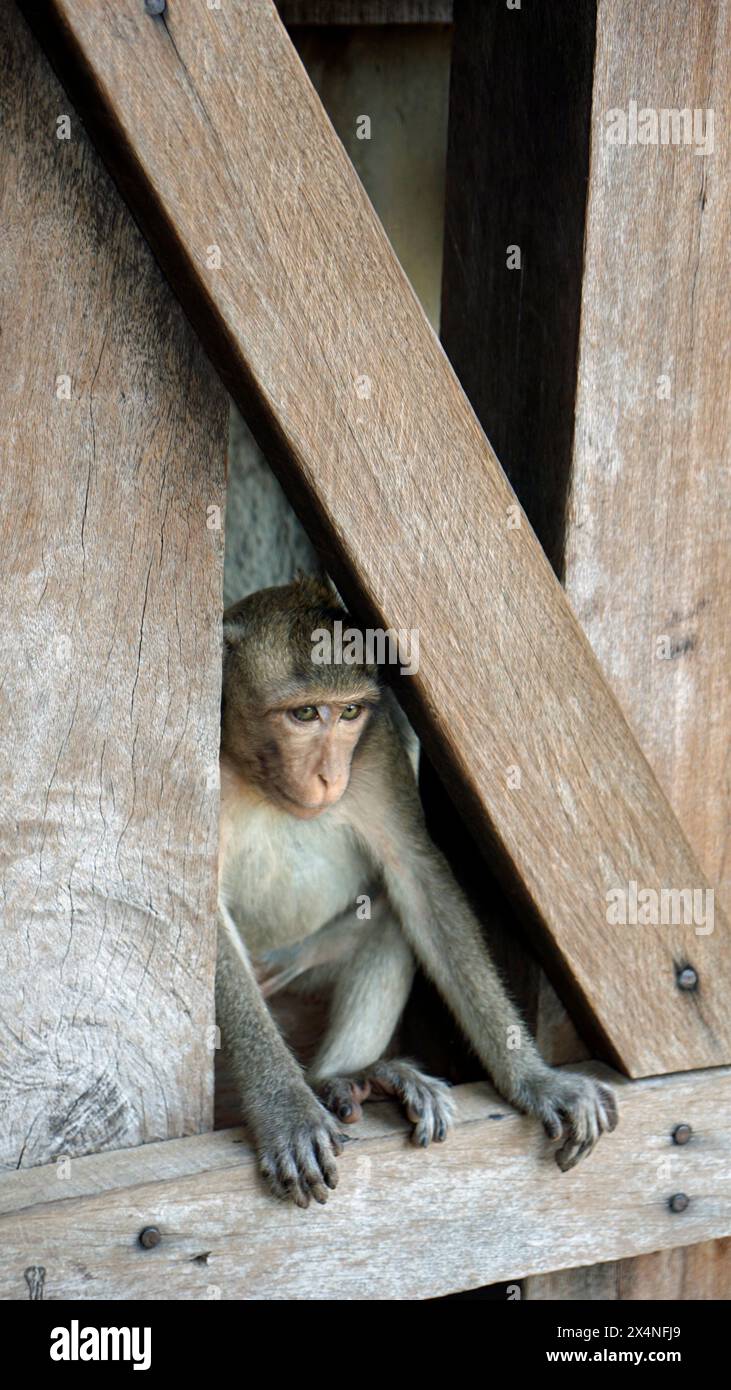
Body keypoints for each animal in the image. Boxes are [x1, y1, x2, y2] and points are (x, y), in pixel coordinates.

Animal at [218, 575, 619, 1206]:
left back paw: (345, 1078)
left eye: (349, 713)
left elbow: (419, 878)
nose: (330, 776)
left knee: (389, 921)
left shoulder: (377, 749)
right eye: (304, 714)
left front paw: (535, 1080)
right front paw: (285, 1112)